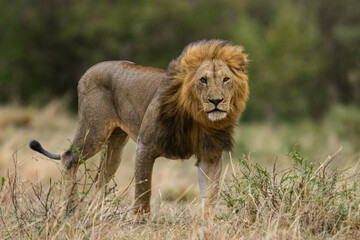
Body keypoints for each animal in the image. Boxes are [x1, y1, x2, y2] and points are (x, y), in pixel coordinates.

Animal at [29, 39, 249, 216]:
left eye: (226, 79)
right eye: (203, 80)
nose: (216, 101)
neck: (198, 117)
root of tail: (90, 70)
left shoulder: (210, 155)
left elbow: (210, 196)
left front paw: (208, 225)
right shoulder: (145, 146)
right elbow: (144, 190)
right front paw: (140, 221)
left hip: (116, 144)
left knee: (100, 178)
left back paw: (97, 213)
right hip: (94, 131)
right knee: (69, 158)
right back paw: (68, 209)